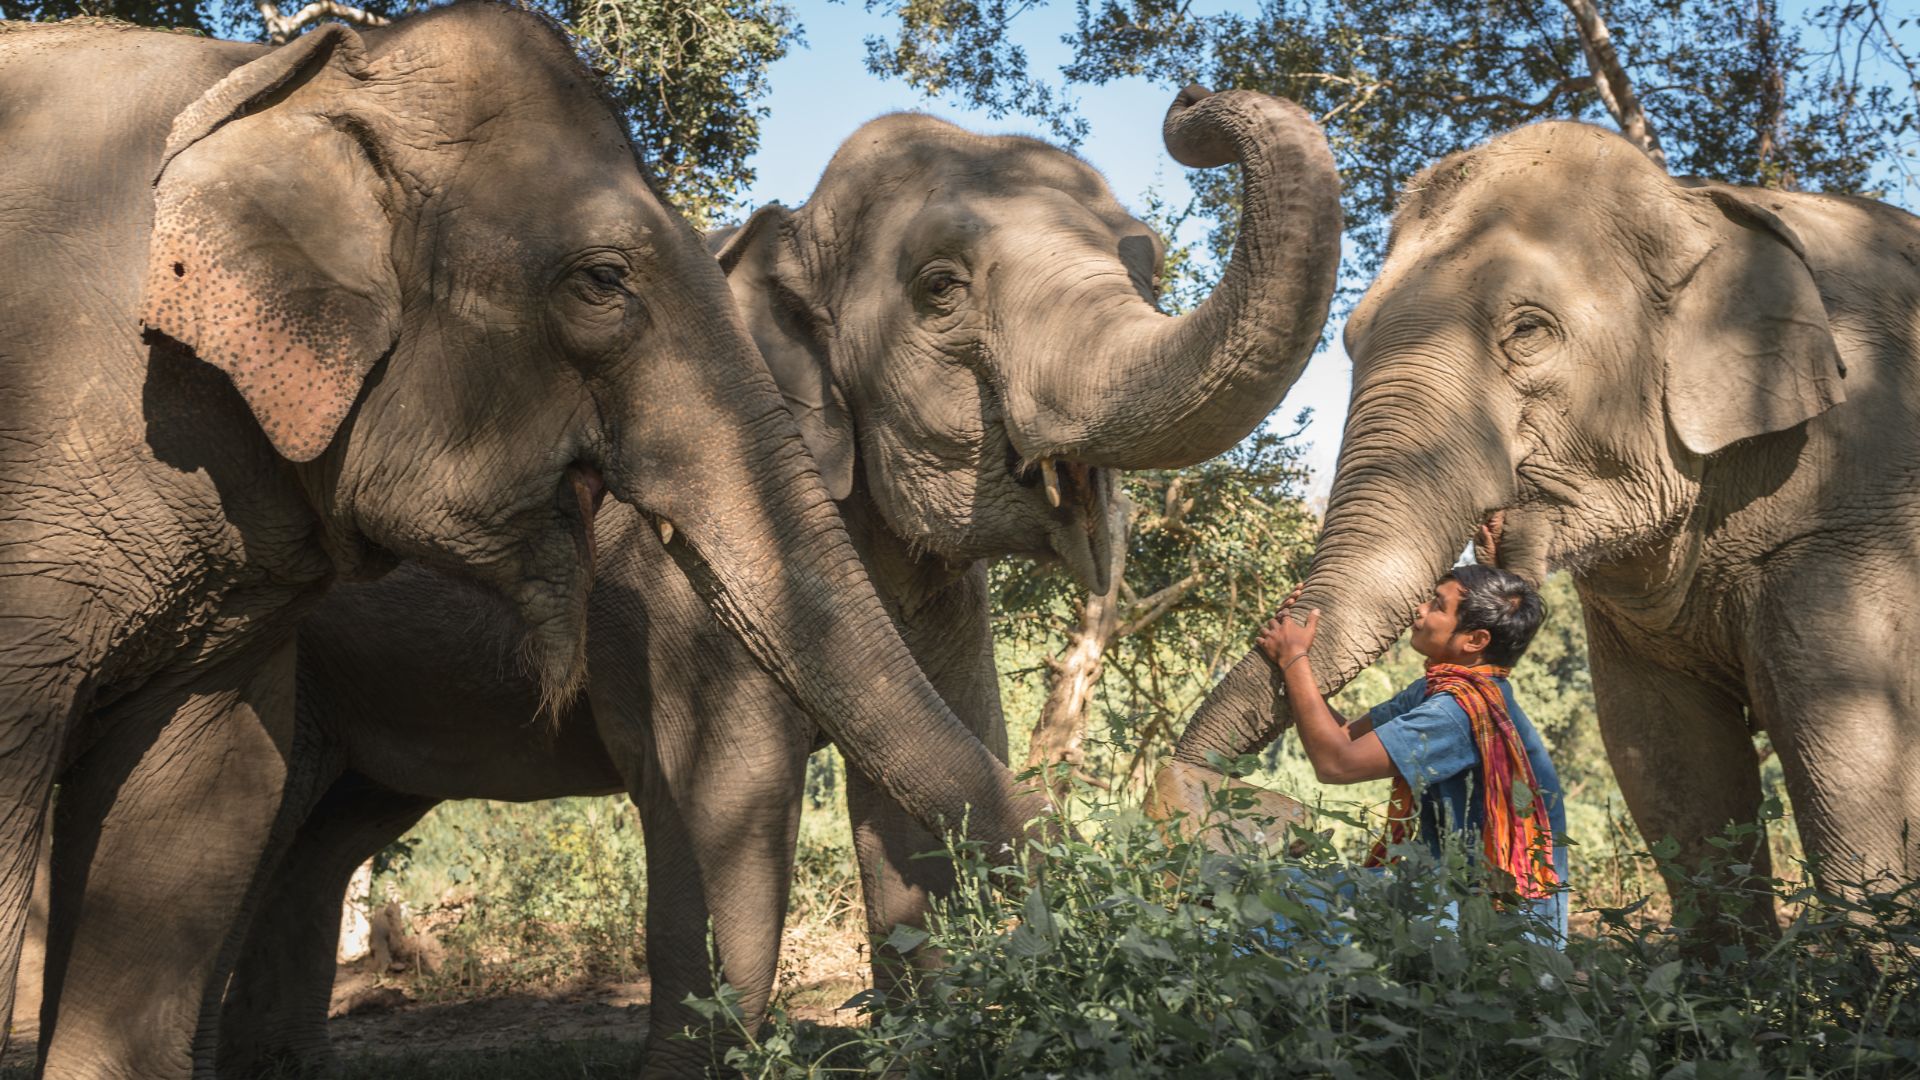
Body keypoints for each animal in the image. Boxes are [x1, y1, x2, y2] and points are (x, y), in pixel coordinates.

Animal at [208, 87, 1344, 1076]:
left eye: (1148, 264)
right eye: (941, 289)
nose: (1190, 106)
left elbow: (929, 772)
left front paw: (935, 1034)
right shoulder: (670, 573)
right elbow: (727, 794)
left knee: (328, 840)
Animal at [1164, 120, 1920, 929]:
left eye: (1528, 330)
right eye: (1351, 338)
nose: (1203, 795)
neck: (1697, 206)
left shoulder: (1854, 514)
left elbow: (1852, 771)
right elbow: (1668, 764)